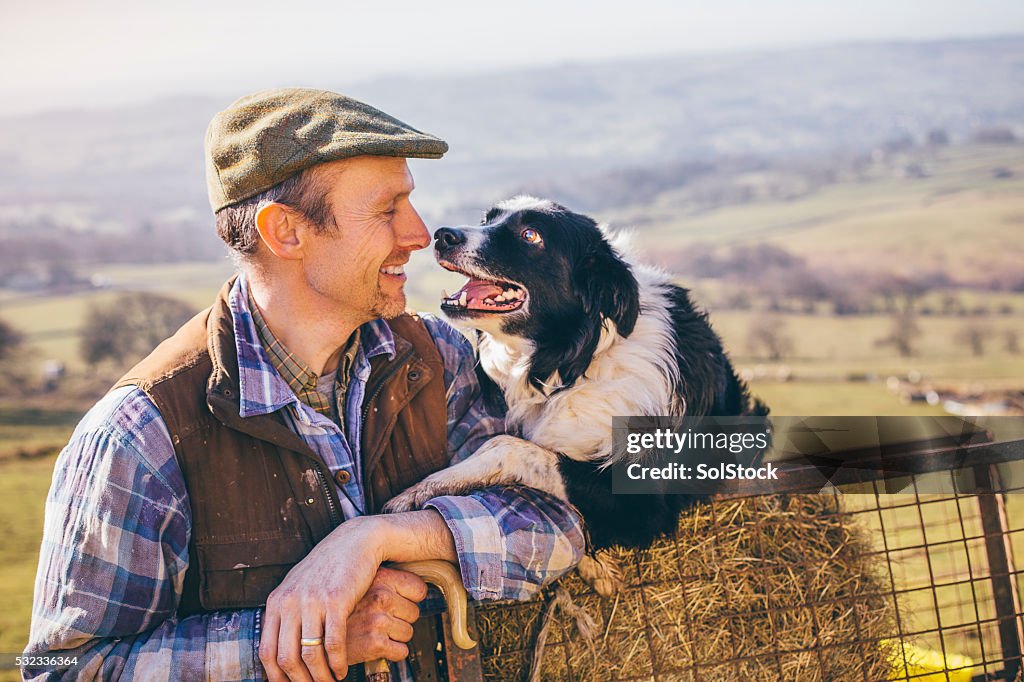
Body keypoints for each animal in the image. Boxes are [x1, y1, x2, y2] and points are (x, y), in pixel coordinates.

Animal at [385, 193, 770, 593]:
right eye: (487, 219)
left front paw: (417, 491)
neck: (577, 364)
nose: (443, 235)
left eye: (530, 235)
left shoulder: (643, 502)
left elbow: (510, 449)